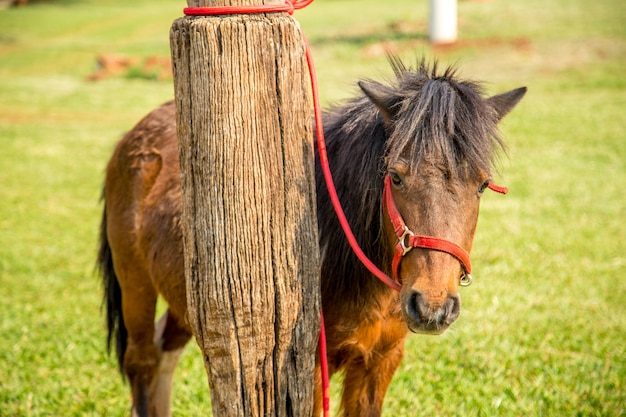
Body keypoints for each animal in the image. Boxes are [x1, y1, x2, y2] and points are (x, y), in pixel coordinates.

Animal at [97, 59, 524, 416]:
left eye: (481, 185)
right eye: (396, 176)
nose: (433, 305)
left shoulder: (380, 360)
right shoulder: (309, 370)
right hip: (135, 286)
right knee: (142, 361)